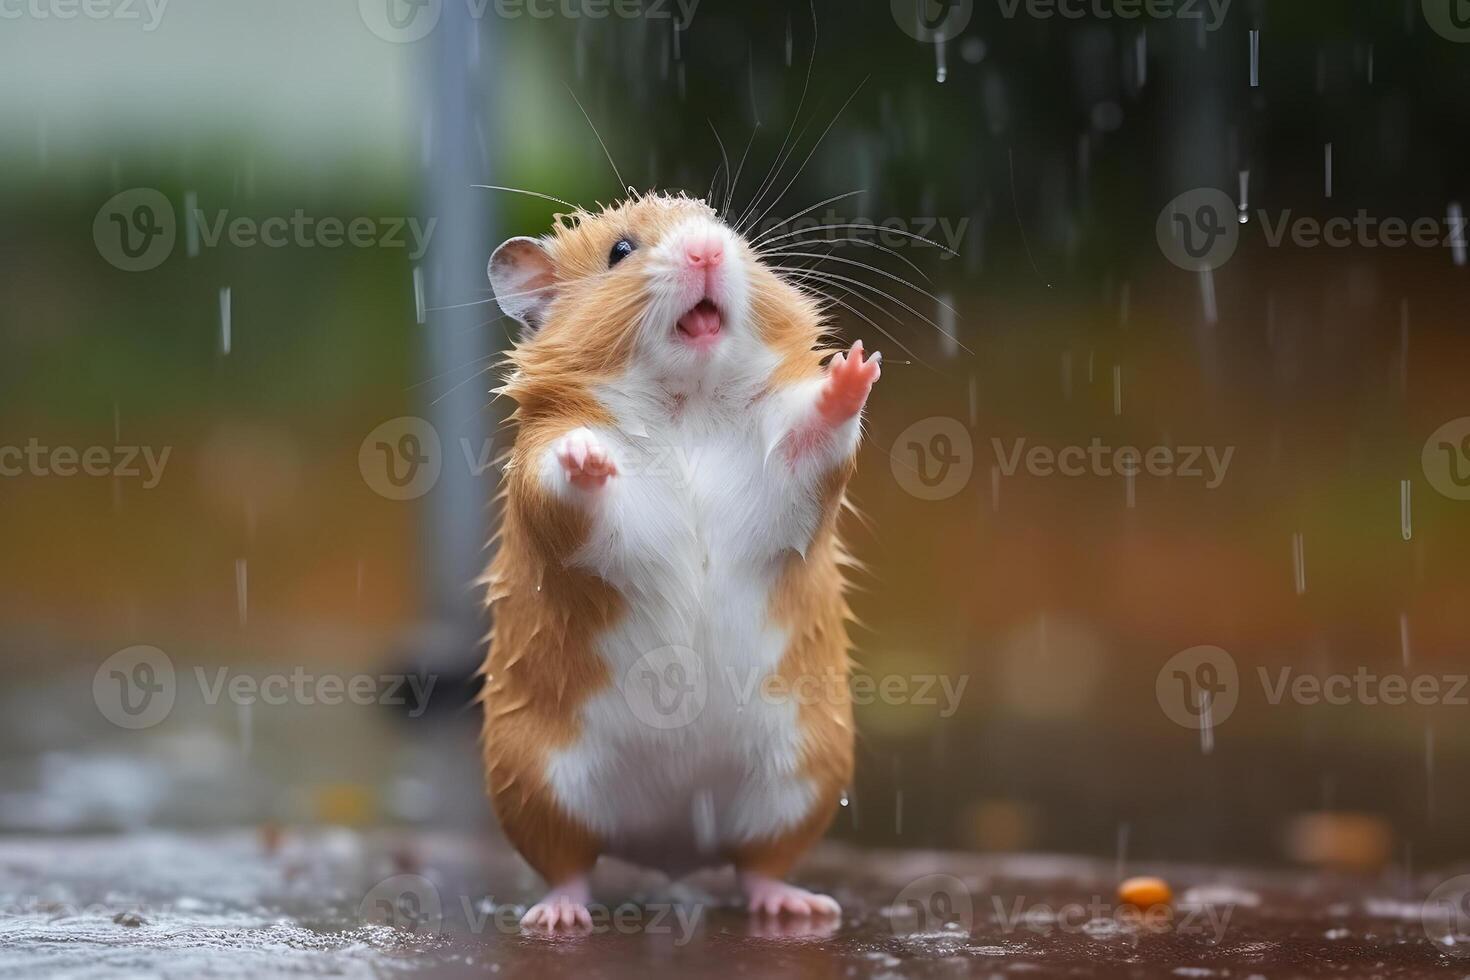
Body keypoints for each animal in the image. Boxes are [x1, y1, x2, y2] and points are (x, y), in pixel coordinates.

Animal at [476, 189, 876, 928]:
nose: (706, 250)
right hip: (534, 786)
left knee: (759, 866)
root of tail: (668, 847)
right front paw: (587, 454)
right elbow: (561, 479)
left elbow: (814, 437)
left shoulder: (792, 473)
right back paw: (557, 917)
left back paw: (801, 908)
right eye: (620, 251)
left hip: (803, 780)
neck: (687, 403)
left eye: (724, 228)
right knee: (568, 865)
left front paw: (854, 367)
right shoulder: (544, 481)